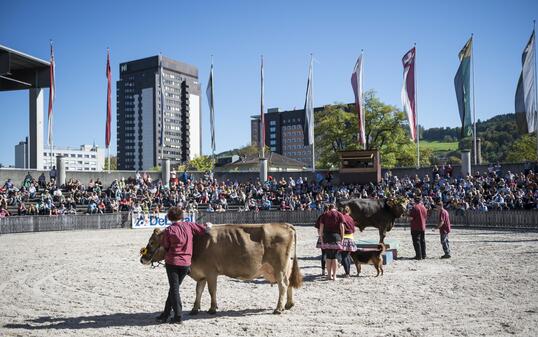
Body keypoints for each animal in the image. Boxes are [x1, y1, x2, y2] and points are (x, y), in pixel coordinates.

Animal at [140, 222, 302, 314]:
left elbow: (212, 290)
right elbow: (199, 290)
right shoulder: (201, 274)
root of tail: (284, 225)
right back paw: (288, 304)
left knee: (283, 285)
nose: (142, 258)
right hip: (285, 266)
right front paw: (195, 308)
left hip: (279, 266)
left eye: (152, 242)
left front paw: (212, 308)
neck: (196, 242)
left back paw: (278, 308)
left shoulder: (211, 272)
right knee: (288, 284)